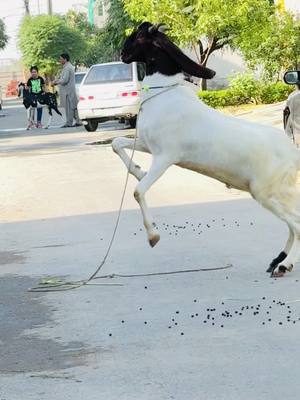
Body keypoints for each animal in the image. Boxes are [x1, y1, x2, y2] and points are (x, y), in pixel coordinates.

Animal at [112, 22, 300, 278]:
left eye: (141, 35)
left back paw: (284, 264)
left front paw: (153, 236)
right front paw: (139, 170)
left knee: (297, 224)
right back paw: (278, 261)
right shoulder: (147, 144)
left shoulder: (166, 156)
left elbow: (138, 191)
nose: (122, 53)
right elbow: (116, 143)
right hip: (277, 193)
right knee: (293, 224)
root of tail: (293, 154)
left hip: (269, 192)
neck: (165, 95)